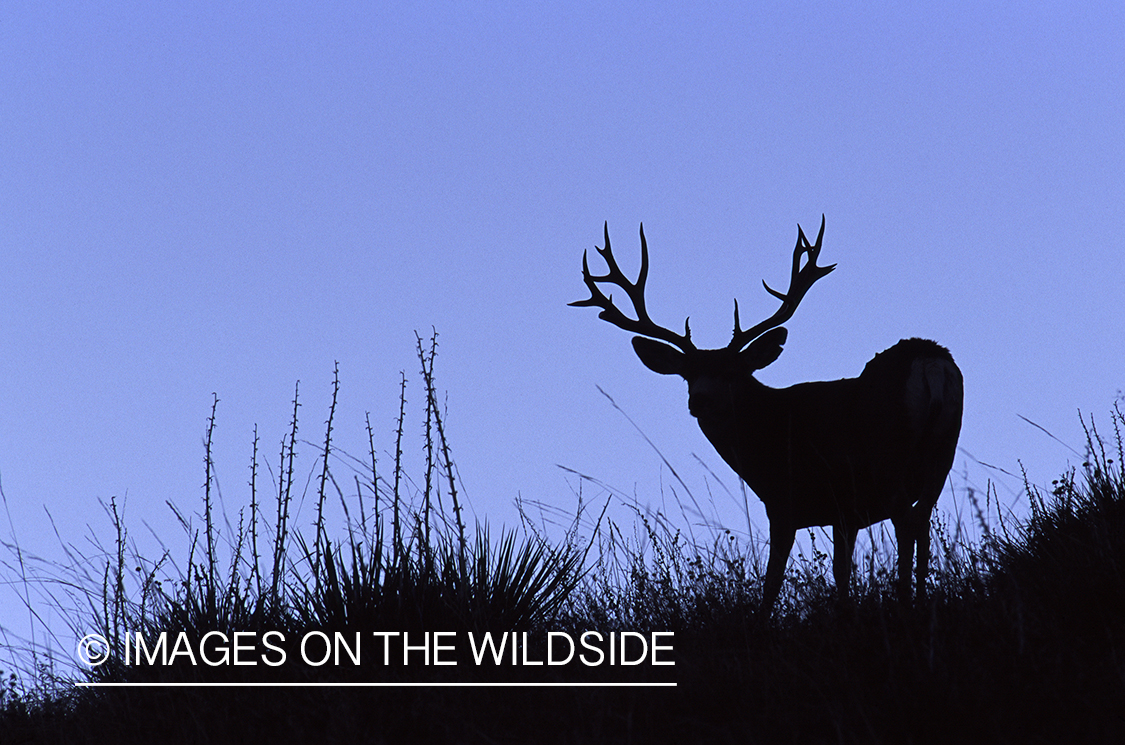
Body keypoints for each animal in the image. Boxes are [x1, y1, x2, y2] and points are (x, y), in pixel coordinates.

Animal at [571, 216, 963, 613]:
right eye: (687, 375)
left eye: (732, 373)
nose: (699, 401)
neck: (767, 432)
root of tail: (929, 361)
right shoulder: (844, 512)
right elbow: (841, 574)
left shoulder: (785, 502)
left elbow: (773, 582)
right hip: (941, 455)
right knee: (922, 520)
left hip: (887, 459)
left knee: (906, 523)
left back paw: (906, 603)